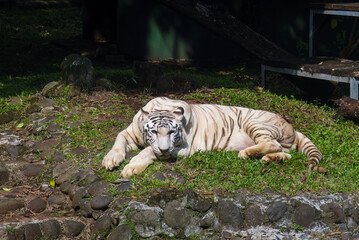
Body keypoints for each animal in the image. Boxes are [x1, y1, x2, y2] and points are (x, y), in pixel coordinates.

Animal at [102, 96, 324, 177]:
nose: (164, 149)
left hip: (254, 122)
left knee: (271, 143)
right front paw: (111, 160)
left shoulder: (183, 148)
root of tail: (292, 126)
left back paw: (247, 153)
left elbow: (149, 151)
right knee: (284, 152)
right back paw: (268, 159)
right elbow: (118, 140)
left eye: (172, 132)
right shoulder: (130, 132)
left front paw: (131, 167)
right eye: (155, 131)